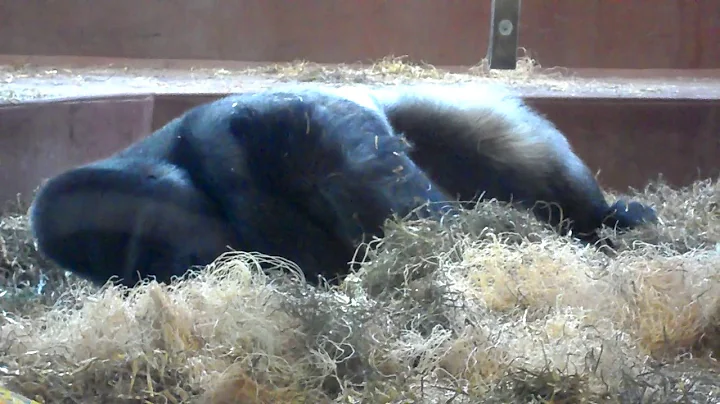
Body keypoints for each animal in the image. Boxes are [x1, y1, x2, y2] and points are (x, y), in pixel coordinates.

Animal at [29, 84, 657, 288]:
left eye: (144, 242)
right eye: (138, 269)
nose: (174, 267)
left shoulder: (234, 128)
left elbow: (345, 161)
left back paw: (603, 218)